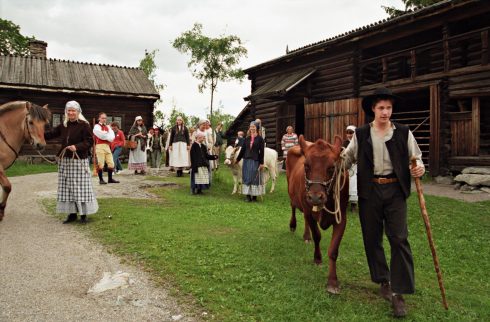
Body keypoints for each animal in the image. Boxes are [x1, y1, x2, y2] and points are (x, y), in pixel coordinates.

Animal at [288, 135, 348, 294]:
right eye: (306, 166)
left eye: (332, 167)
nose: (315, 197)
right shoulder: (309, 211)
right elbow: (317, 236)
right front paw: (317, 258)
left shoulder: (341, 217)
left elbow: (333, 250)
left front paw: (332, 282)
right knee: (293, 207)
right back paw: (293, 225)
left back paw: (306, 236)